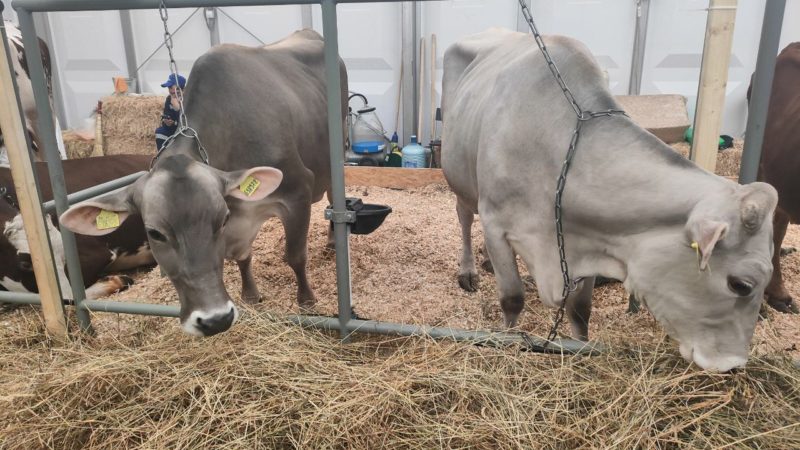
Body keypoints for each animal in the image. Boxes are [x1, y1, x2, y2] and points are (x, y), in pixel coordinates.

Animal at [61, 29, 346, 336]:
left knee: (333, 199)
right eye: (154, 233)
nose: (214, 320)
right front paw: (250, 295)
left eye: (220, 220)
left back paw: (333, 240)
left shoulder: (298, 191)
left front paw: (306, 301)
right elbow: (242, 257)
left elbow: (295, 256)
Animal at [444, 29, 776, 372]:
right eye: (741, 284)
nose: (735, 365)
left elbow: (580, 309)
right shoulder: (497, 223)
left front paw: (580, 349)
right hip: (461, 179)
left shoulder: (591, 242)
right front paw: (507, 343)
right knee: (464, 217)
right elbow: (512, 299)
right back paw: (469, 270)